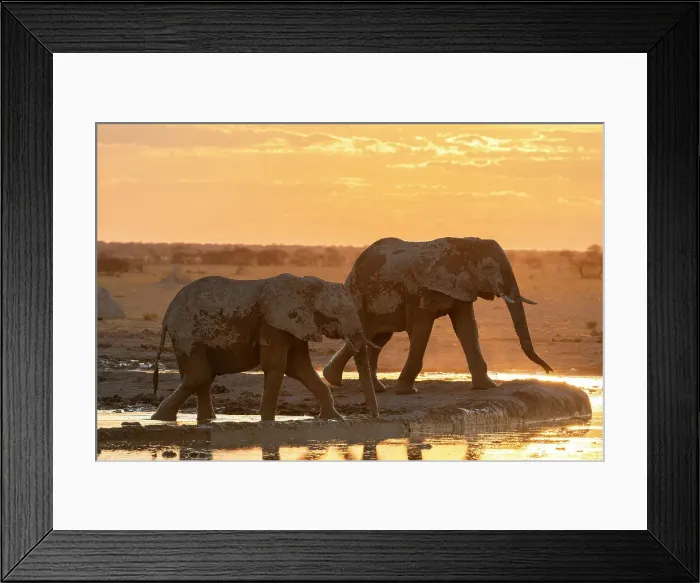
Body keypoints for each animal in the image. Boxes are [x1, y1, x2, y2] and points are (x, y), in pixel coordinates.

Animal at [150, 274, 379, 422]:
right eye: (338, 314)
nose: (375, 418)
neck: (308, 285)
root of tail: (167, 313)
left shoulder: (296, 326)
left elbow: (299, 368)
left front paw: (334, 418)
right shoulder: (273, 324)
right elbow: (277, 366)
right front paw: (267, 420)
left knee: (203, 377)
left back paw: (207, 420)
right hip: (187, 333)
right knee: (199, 375)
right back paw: (160, 418)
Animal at [322, 237, 553, 395]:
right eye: (488, 267)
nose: (549, 371)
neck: (463, 244)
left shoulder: (462, 286)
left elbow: (467, 328)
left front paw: (486, 387)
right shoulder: (419, 292)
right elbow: (421, 329)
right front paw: (406, 391)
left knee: (377, 338)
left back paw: (361, 385)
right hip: (357, 297)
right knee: (365, 335)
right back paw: (335, 380)